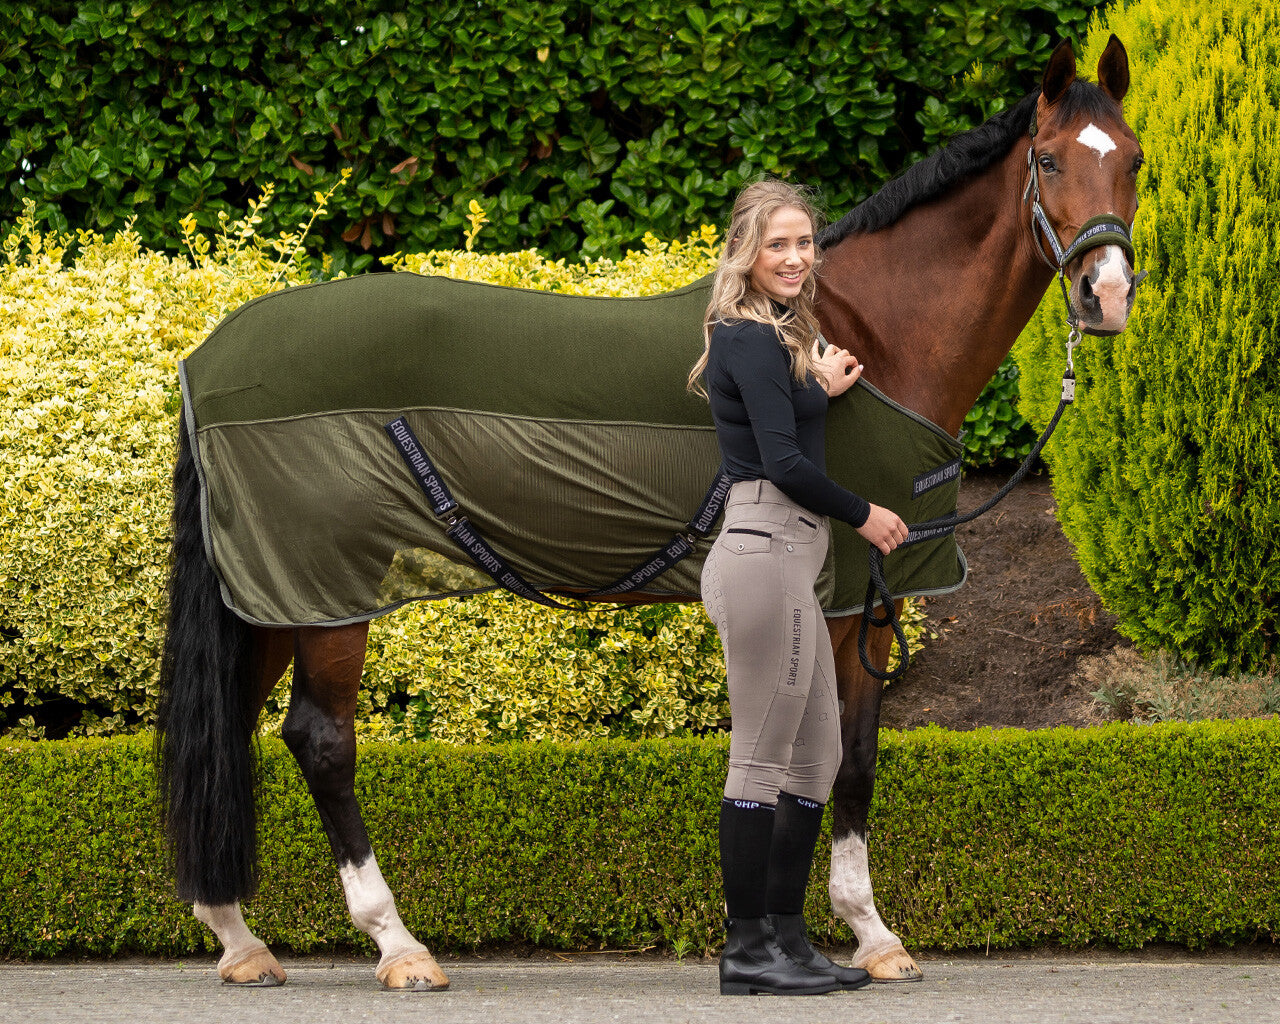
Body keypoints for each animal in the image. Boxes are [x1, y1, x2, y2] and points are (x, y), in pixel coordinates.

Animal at [157, 36, 1142, 988]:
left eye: (1132, 159)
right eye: (1049, 160)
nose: (1106, 295)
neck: (862, 333)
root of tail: (208, 359)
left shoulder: (871, 598)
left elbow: (854, 757)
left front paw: (867, 939)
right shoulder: (842, 596)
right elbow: (828, 758)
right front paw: (855, 931)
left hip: (274, 596)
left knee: (230, 726)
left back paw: (238, 939)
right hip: (329, 593)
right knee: (320, 740)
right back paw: (396, 946)